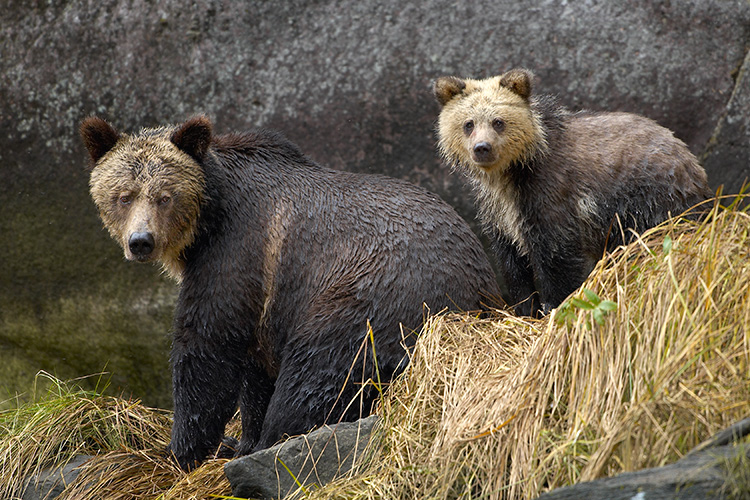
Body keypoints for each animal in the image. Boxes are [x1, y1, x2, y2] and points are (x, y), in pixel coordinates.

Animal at [80, 115, 500, 470]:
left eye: (164, 196)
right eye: (124, 195)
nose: (141, 242)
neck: (208, 219)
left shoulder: (238, 251)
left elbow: (206, 349)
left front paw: (183, 450)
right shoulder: (264, 296)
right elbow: (253, 370)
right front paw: (241, 439)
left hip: (369, 299)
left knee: (314, 377)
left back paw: (278, 441)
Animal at [433, 68, 712, 317]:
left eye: (498, 121)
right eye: (468, 123)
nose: (482, 147)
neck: (512, 174)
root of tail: (692, 161)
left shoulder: (551, 195)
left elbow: (557, 256)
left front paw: (553, 306)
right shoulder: (498, 212)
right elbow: (512, 262)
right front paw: (524, 308)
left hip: (651, 200)